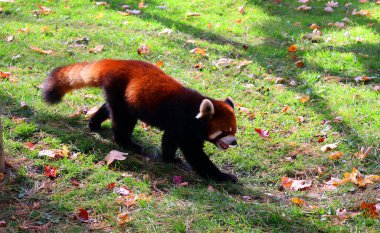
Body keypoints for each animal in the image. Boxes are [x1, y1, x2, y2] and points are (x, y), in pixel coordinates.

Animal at [42, 59, 238, 182]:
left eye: (234, 131)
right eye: (225, 132)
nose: (234, 142)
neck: (194, 111)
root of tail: (115, 62)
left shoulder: (177, 127)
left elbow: (169, 140)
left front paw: (169, 159)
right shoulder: (184, 125)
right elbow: (196, 156)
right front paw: (223, 177)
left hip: (120, 95)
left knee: (109, 108)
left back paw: (94, 123)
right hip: (121, 91)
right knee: (122, 119)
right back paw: (126, 143)